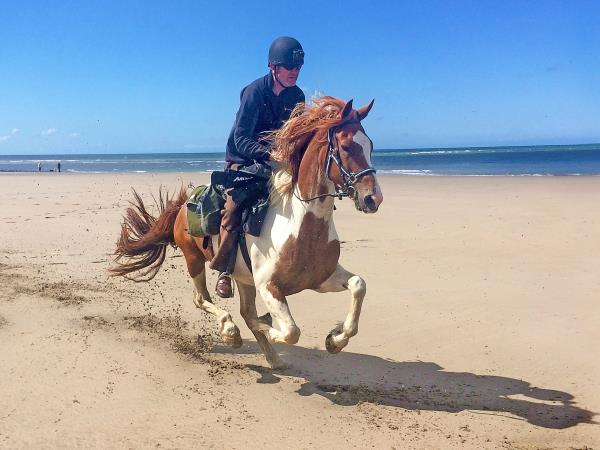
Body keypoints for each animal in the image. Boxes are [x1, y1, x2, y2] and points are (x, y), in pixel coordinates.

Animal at [111, 96, 384, 368]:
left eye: (370, 146)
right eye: (346, 147)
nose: (373, 198)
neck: (300, 228)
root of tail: (181, 207)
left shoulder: (320, 279)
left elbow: (359, 285)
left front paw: (336, 339)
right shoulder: (269, 287)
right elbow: (290, 331)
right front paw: (260, 327)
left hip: (243, 277)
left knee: (243, 310)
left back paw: (273, 358)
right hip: (195, 260)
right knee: (202, 298)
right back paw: (231, 332)